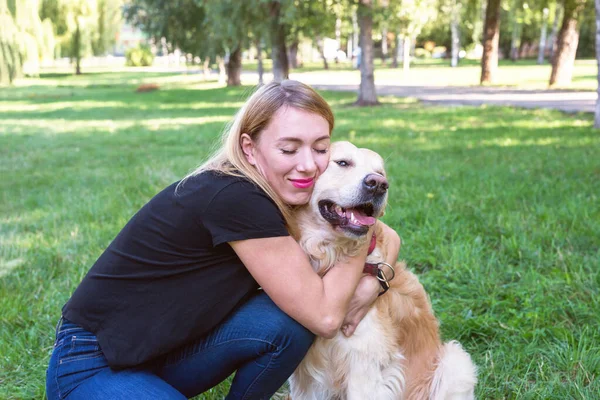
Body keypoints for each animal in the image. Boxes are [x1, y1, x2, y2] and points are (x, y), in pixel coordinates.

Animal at [288, 142, 476, 398]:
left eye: (380, 173)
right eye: (343, 162)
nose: (378, 184)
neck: (329, 255)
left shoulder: (364, 362)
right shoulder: (304, 377)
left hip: (455, 363)